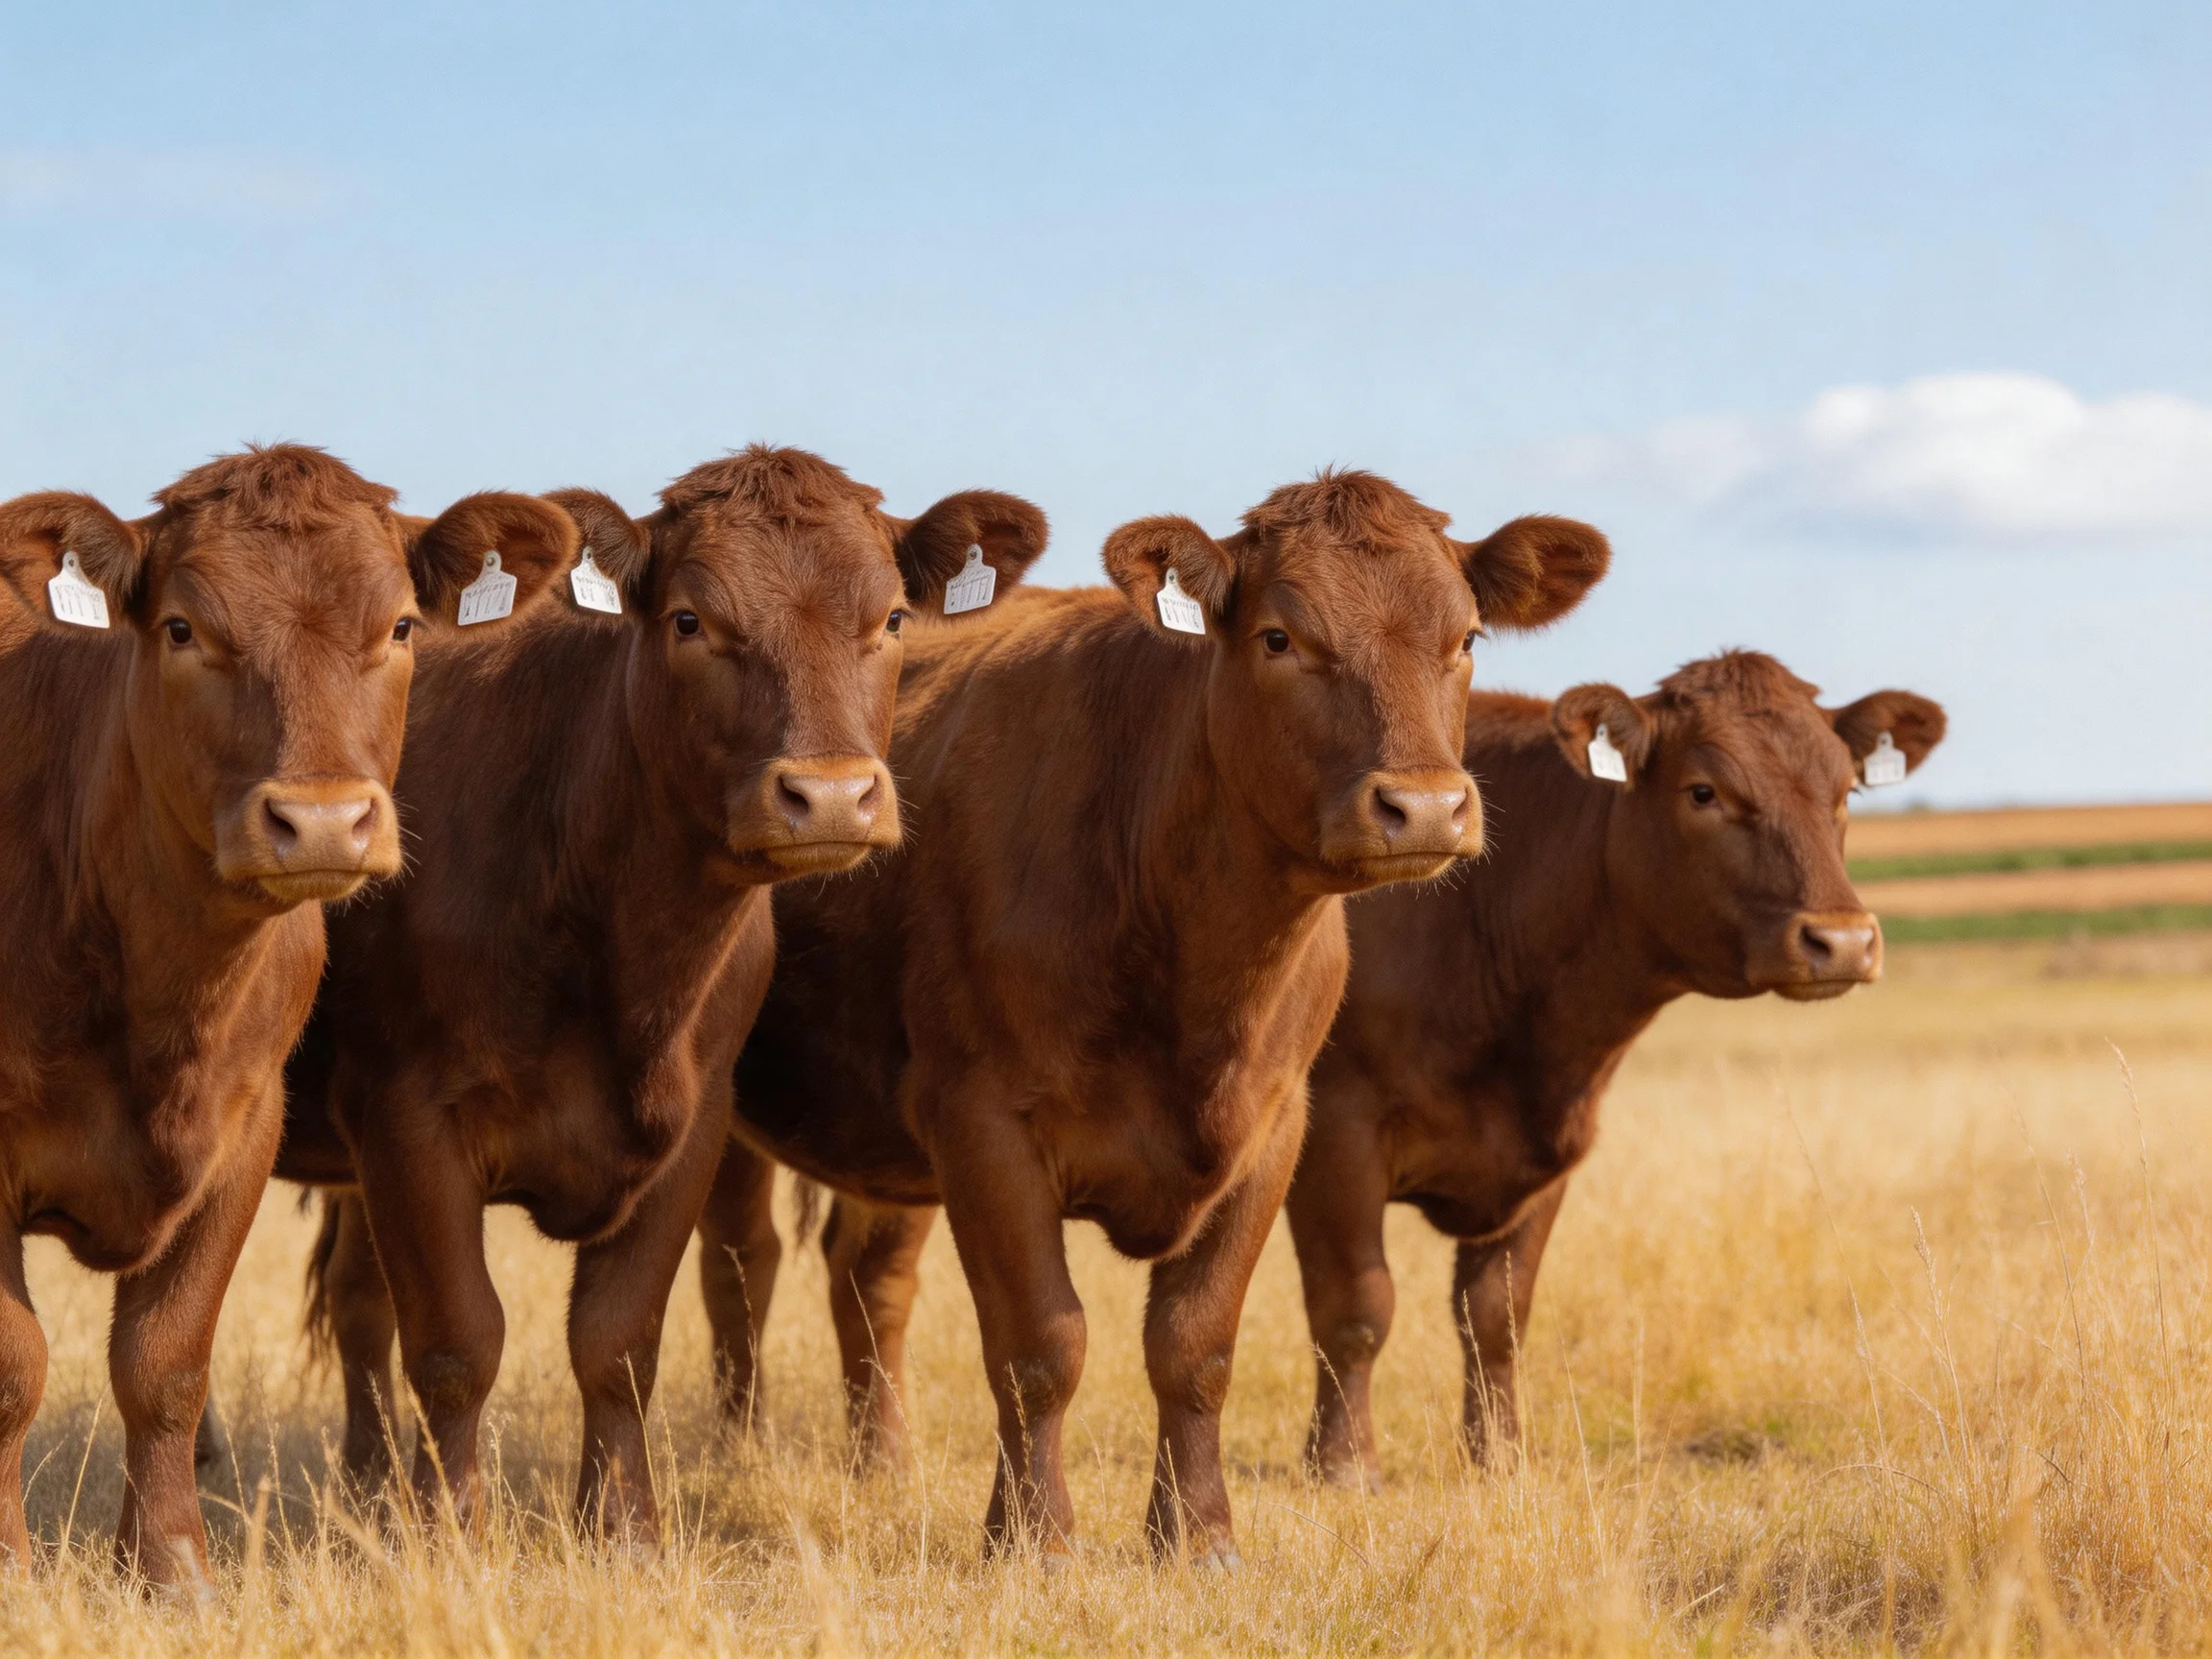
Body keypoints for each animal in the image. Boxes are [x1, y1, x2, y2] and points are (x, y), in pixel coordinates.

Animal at [0, 446, 573, 1588]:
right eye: (183, 628)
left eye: (402, 627)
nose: (319, 820)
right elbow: (13, 1367)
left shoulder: (245, 1127)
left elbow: (165, 1361)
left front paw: (171, 1566)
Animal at [277, 448, 1048, 1545]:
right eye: (690, 620)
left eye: (895, 617)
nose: (830, 795)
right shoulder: (405, 1116)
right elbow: (457, 1340)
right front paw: (449, 1533)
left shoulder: (694, 1123)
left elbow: (619, 1340)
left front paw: (622, 1528)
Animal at [700, 472, 1611, 1568]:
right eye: (1278, 637)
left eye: (1467, 636)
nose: (1426, 808)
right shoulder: (983, 1124)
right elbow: (1040, 1343)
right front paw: (1035, 1538)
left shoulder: (1275, 1128)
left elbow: (1195, 1344)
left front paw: (1197, 1534)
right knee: (741, 1263)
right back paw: (735, 1451)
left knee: (867, 1277)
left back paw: (882, 1459)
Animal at [1292, 651, 1946, 1487]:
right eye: (1703, 791)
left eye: (1844, 792)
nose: (1843, 940)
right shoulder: (1335, 1133)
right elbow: (1356, 1308)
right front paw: (1346, 1468)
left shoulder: (1546, 1155)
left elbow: (1498, 1317)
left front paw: (1501, 1459)